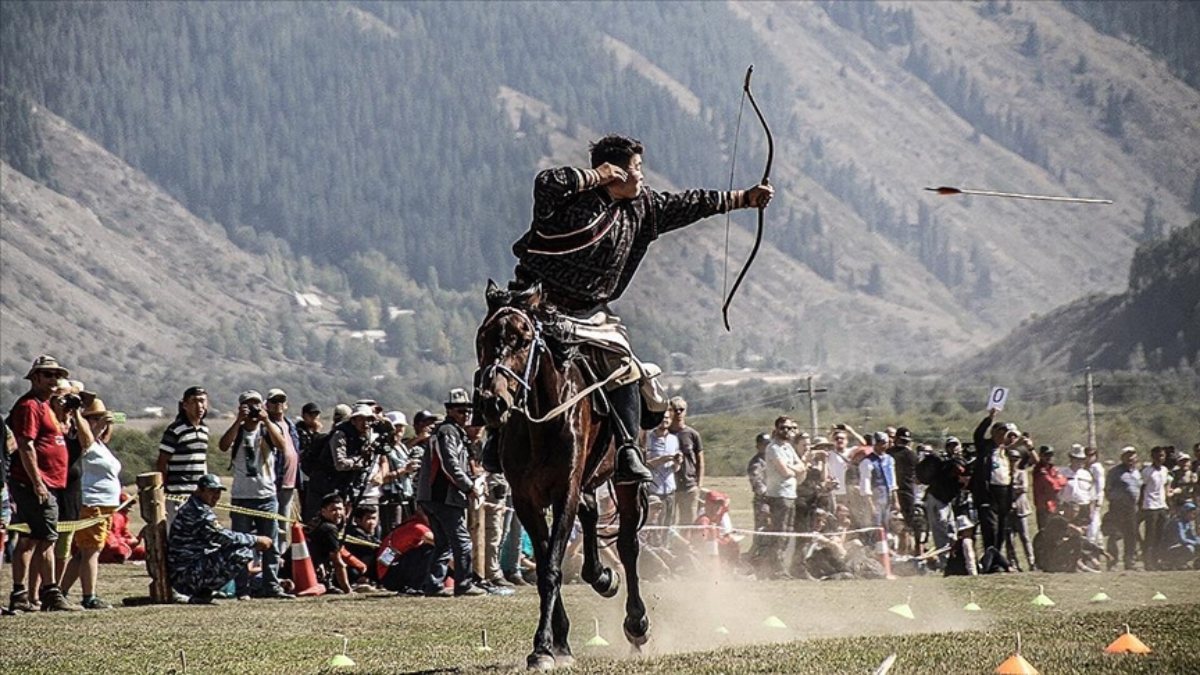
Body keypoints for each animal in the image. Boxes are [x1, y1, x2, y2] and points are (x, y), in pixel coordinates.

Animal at [475, 279, 648, 667]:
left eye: (524, 339)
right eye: (483, 337)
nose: (492, 402)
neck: (543, 423)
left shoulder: (564, 490)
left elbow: (552, 565)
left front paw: (543, 647)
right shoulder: (526, 499)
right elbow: (544, 565)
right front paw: (557, 644)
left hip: (623, 481)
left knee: (628, 545)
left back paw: (637, 623)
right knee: (592, 514)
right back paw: (601, 577)